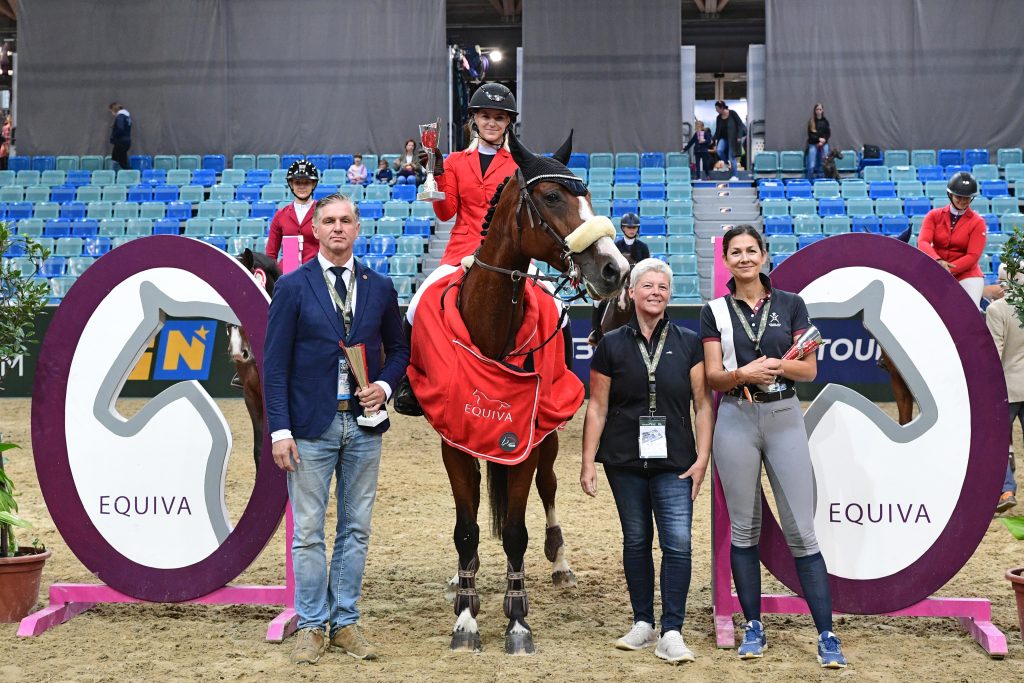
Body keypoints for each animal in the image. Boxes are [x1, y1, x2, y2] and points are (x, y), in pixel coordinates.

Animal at [428, 131, 626, 655]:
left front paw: (517, 622)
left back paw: (560, 563)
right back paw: (463, 577)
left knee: (549, 487)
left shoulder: (527, 441)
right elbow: (467, 529)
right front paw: (466, 617)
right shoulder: (454, 442)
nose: (616, 268)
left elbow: (516, 530)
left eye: (588, 195)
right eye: (553, 197)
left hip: (548, 437)